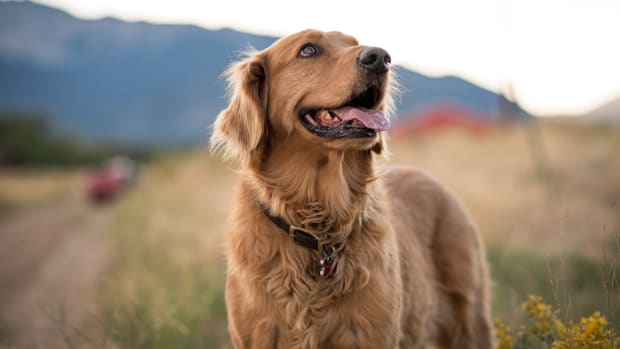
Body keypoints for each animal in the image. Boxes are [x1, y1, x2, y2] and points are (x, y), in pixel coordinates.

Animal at [211, 29, 492, 348]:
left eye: (354, 44)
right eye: (308, 50)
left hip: (471, 323)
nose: (380, 57)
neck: (318, 225)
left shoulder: (372, 334)